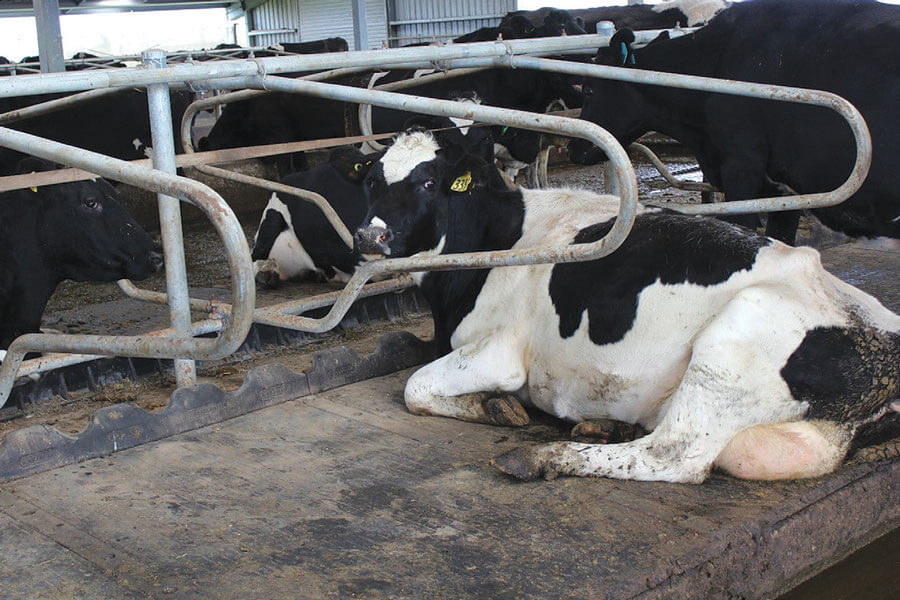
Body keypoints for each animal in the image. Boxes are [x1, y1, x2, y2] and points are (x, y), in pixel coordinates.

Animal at [353, 130, 900, 483]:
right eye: (372, 181)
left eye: (428, 182)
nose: (369, 235)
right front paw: (493, 405)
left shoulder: (499, 351)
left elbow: (415, 387)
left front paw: (493, 406)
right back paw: (604, 426)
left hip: (735, 340)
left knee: (675, 456)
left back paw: (544, 456)